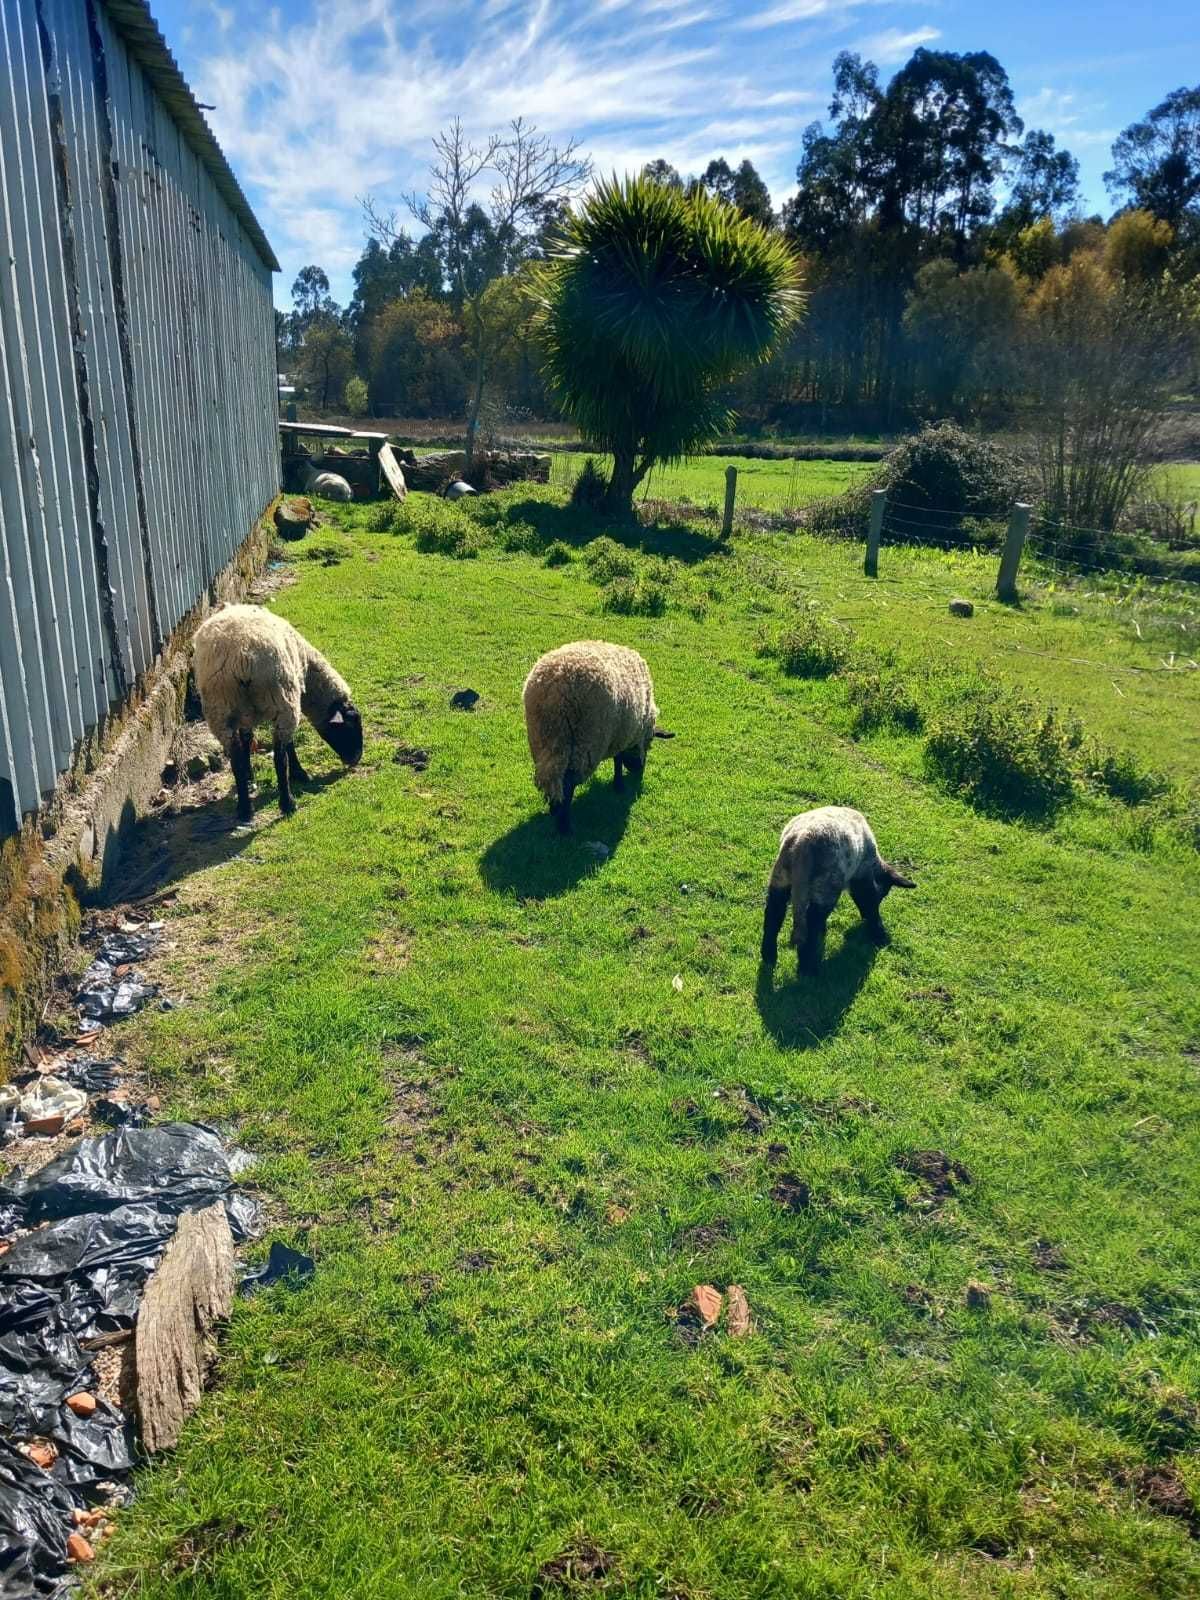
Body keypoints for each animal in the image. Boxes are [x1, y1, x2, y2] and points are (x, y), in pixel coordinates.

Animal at [190, 601, 361, 825]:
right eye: (350, 726)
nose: (356, 759)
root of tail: (242, 659)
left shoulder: (245, 716)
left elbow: (247, 741)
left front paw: (249, 775)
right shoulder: (291, 701)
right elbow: (288, 746)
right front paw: (298, 774)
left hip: (221, 709)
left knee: (235, 758)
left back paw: (245, 809)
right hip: (282, 701)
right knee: (280, 758)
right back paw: (288, 803)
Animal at [524, 640, 672, 838]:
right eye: (650, 744)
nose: (638, 771)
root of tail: (554, 693)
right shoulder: (620, 734)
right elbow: (618, 760)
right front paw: (619, 786)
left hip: (543, 741)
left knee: (553, 778)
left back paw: (555, 809)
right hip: (584, 742)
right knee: (568, 783)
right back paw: (565, 828)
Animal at [761, 812, 921, 972]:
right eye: (882, 895)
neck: (874, 863)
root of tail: (801, 845)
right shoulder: (862, 875)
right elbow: (869, 902)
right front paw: (880, 935)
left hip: (780, 876)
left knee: (774, 913)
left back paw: (769, 956)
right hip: (827, 885)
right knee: (812, 921)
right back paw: (808, 968)